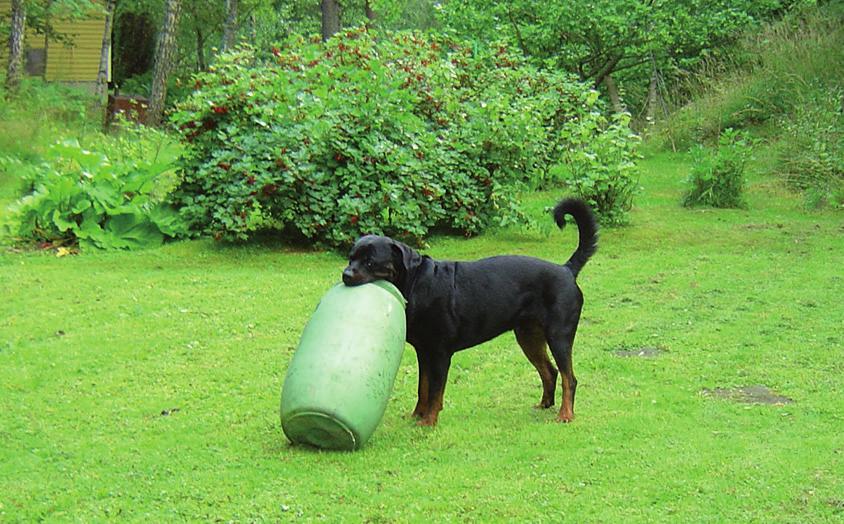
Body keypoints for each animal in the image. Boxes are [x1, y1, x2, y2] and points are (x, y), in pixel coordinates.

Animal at [340, 199, 596, 424]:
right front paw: (417, 415)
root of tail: (566, 269)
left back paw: (565, 414)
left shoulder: (440, 352)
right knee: (550, 371)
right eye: (350, 258)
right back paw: (544, 404)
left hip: (559, 335)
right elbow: (423, 387)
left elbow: (435, 391)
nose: (346, 274)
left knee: (569, 378)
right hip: (528, 336)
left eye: (370, 262)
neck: (415, 283)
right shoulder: (424, 351)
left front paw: (429, 421)